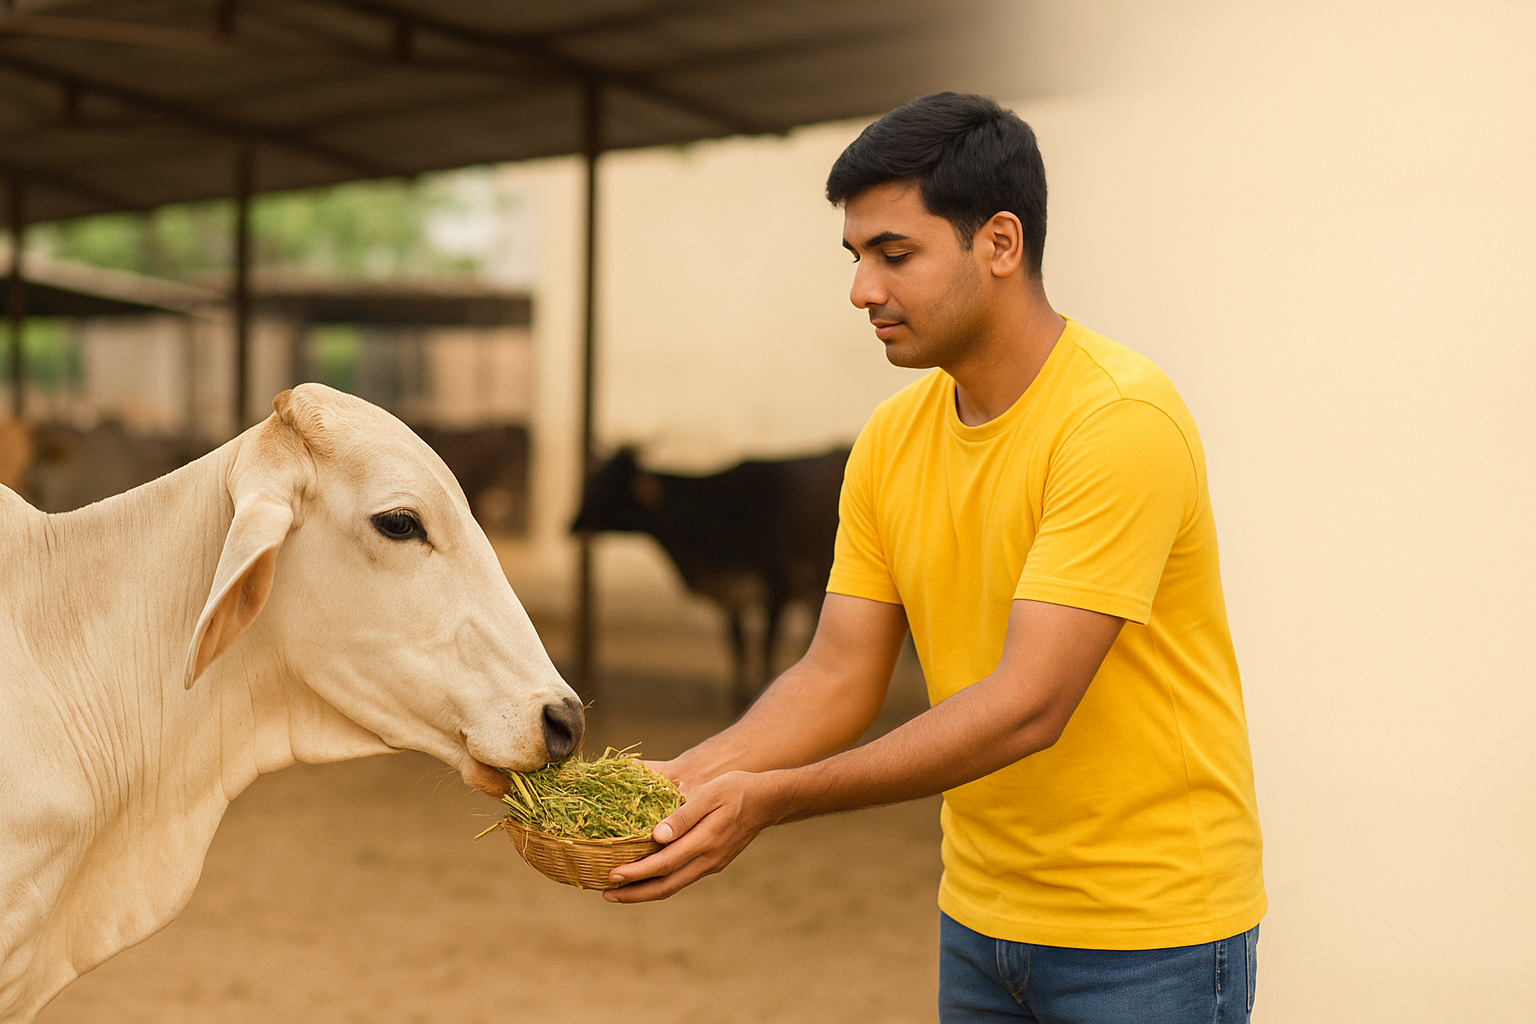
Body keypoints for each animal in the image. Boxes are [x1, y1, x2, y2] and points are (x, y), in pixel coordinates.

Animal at [572, 446, 849, 712]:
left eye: (610, 486)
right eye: (597, 477)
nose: (572, 523)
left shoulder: (777, 589)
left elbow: (766, 649)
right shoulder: (730, 596)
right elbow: (738, 646)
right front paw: (739, 697)